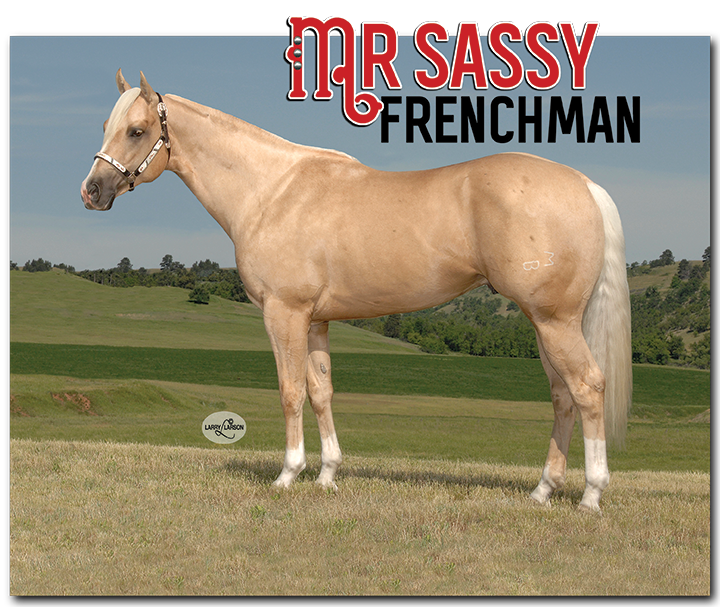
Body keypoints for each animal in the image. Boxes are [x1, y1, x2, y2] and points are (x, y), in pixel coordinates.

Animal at [81, 70, 632, 511]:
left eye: (136, 131)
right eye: (106, 126)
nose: (91, 191)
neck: (272, 191)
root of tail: (585, 185)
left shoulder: (284, 314)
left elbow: (290, 391)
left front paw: (288, 475)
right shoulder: (316, 321)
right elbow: (321, 391)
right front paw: (327, 475)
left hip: (555, 321)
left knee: (587, 388)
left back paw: (591, 495)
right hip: (545, 324)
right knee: (562, 396)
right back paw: (542, 491)